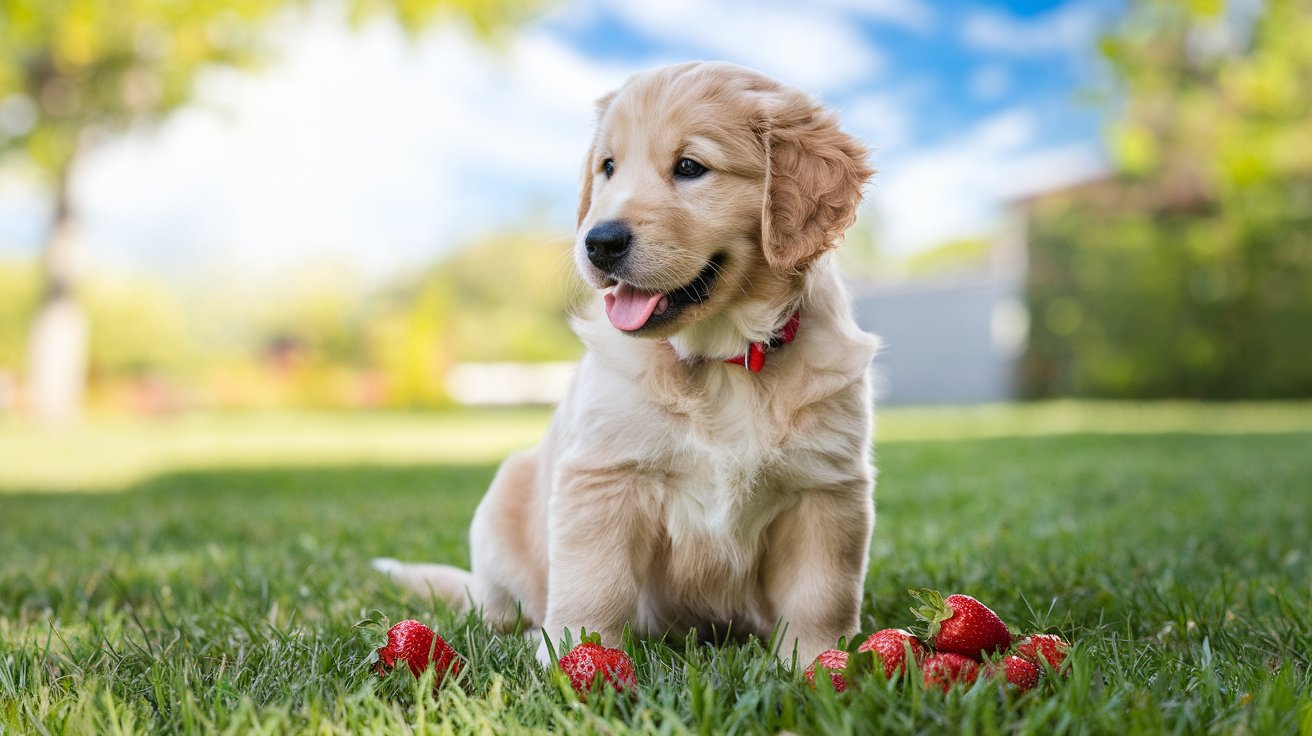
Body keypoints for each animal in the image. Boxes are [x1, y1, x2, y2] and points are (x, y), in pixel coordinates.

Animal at [375, 60, 876, 663]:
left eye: (690, 167)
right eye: (608, 168)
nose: (599, 242)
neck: (719, 360)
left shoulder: (824, 490)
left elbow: (820, 595)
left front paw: (818, 663)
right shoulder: (605, 476)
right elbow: (596, 583)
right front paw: (572, 656)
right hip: (501, 508)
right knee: (498, 607)